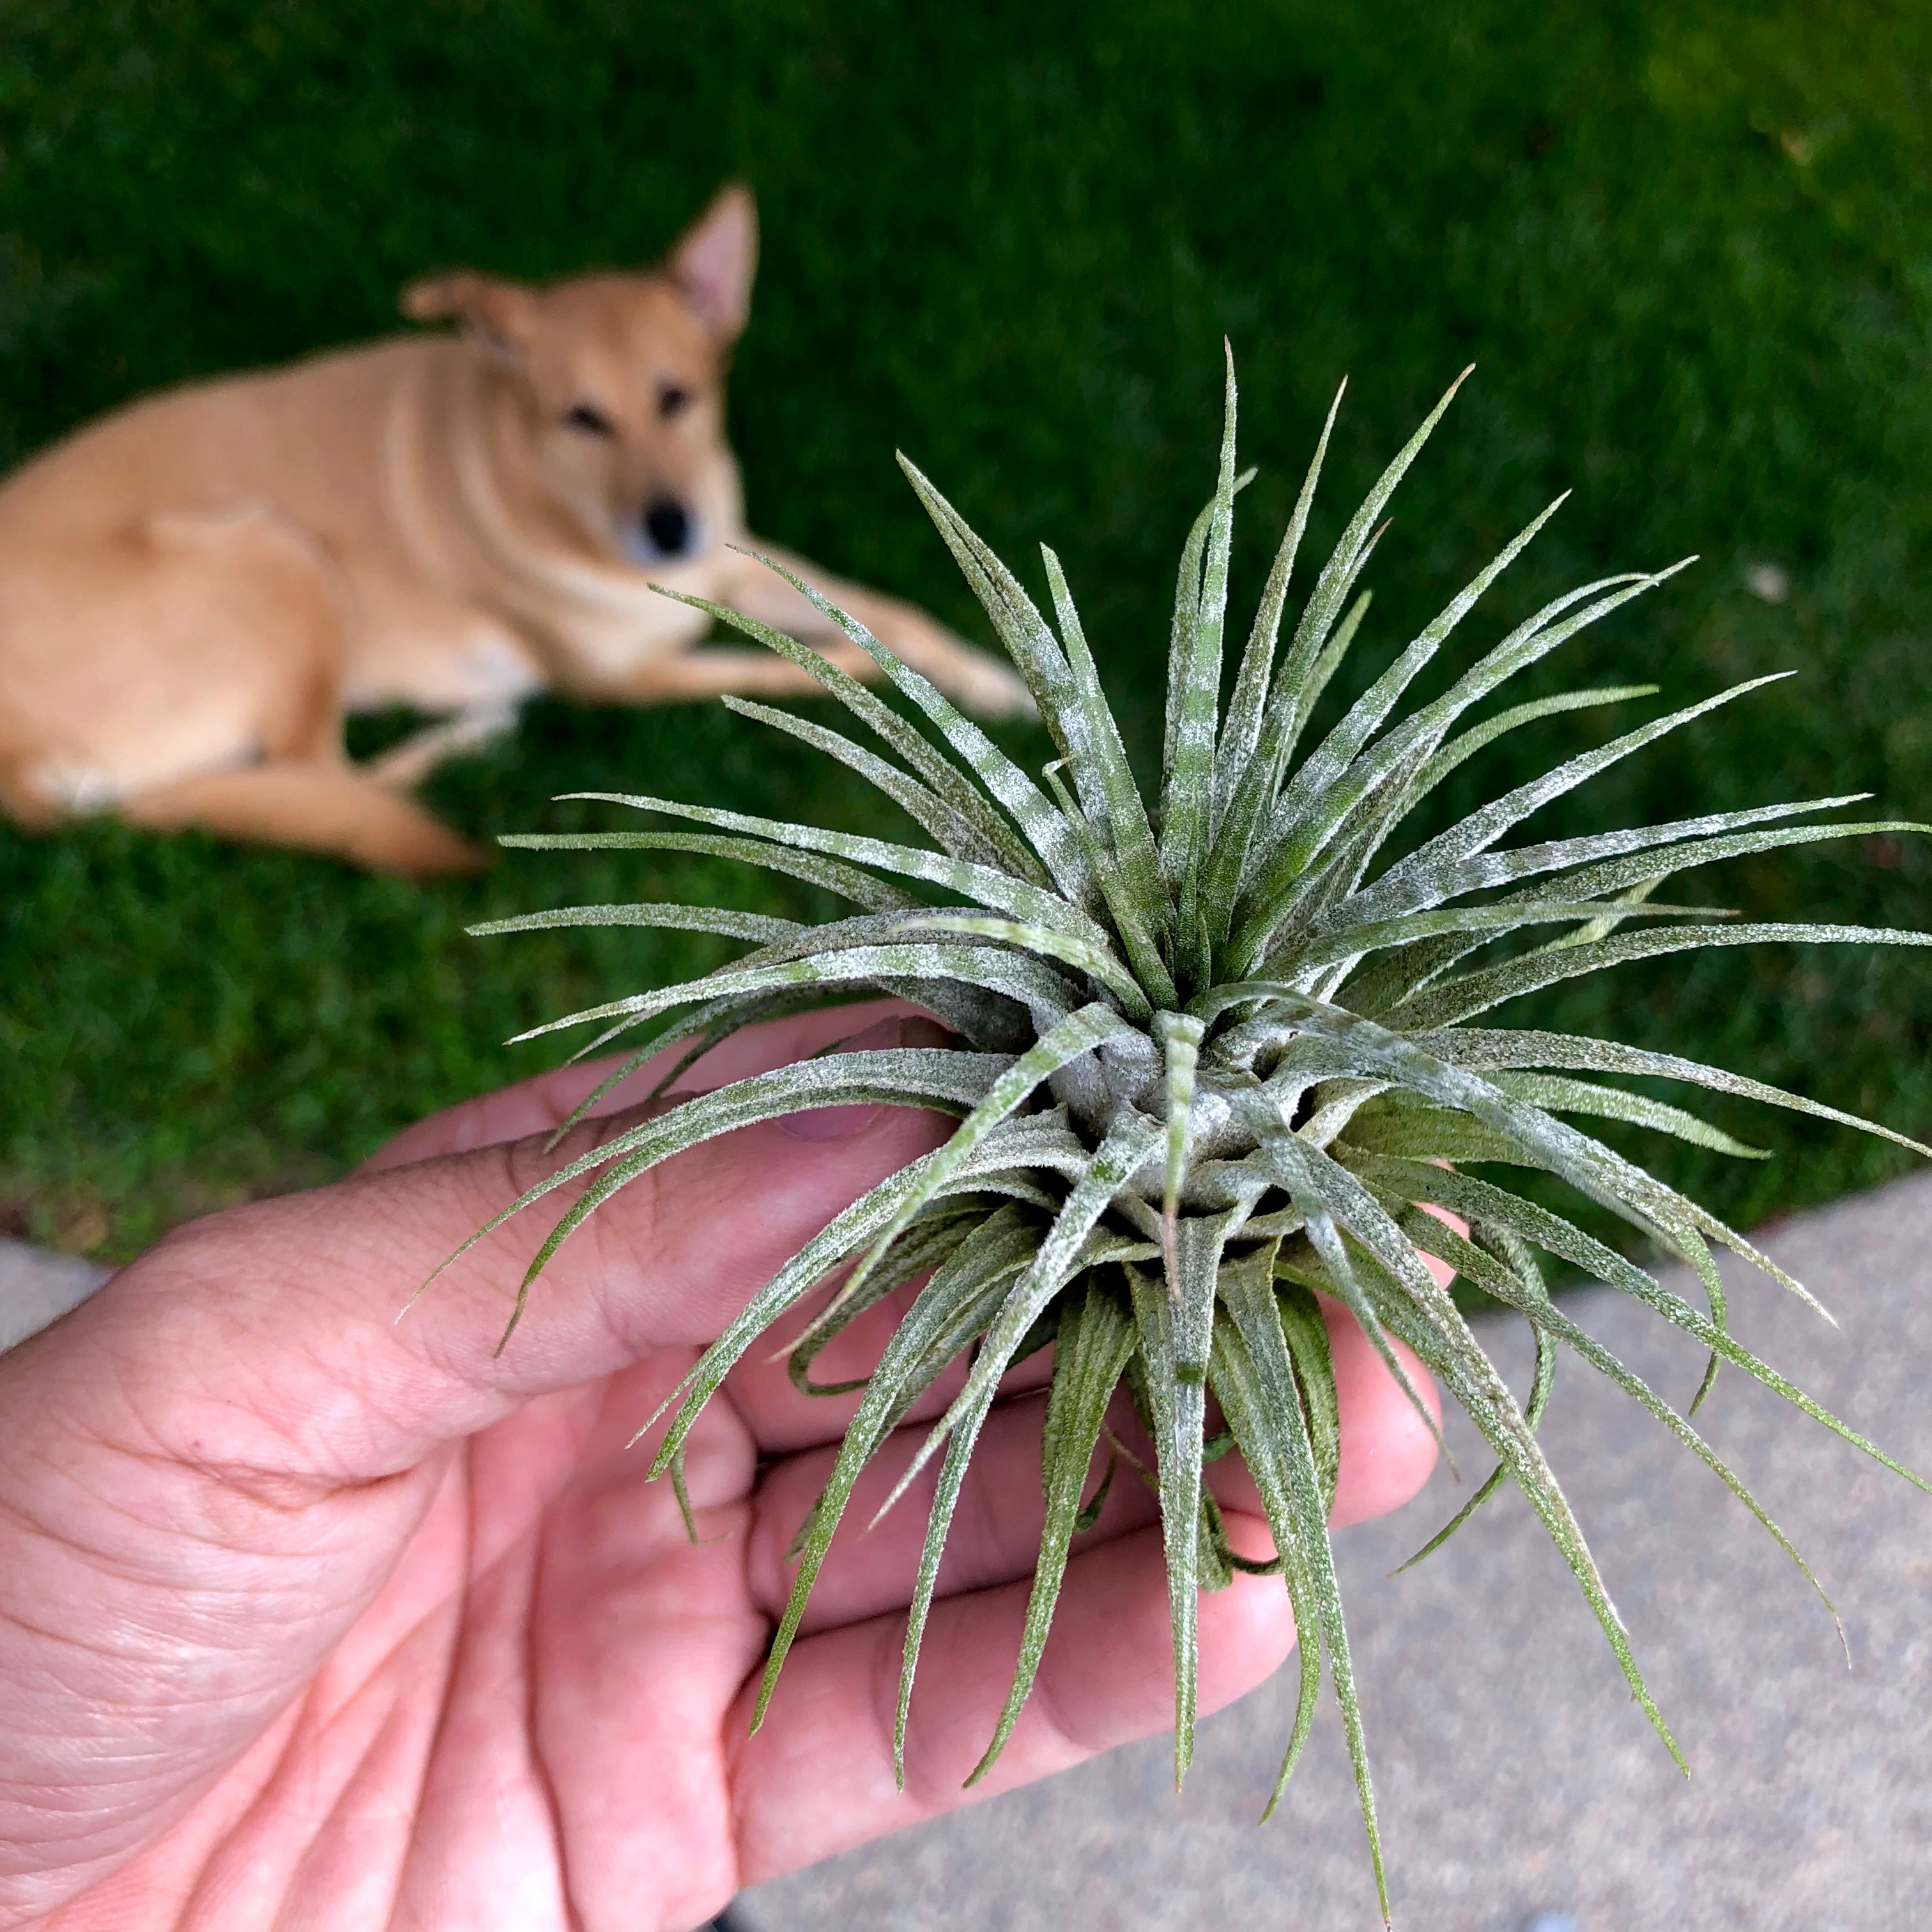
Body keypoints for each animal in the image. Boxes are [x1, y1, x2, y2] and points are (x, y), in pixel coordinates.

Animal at [0, 184, 1027, 873]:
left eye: (677, 398)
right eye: (582, 418)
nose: (672, 529)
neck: (543, 487)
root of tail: (14, 757)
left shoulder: (736, 566)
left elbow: (892, 617)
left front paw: (999, 682)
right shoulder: (620, 681)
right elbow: (809, 669)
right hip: (271, 552)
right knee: (317, 772)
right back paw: (472, 736)